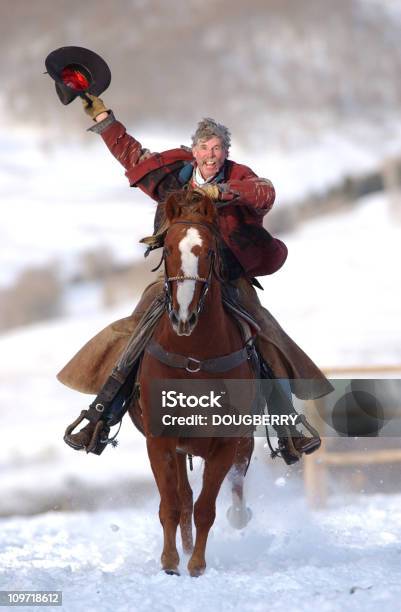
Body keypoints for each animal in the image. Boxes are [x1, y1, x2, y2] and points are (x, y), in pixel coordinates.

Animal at [131, 190, 256, 572]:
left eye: (211, 251)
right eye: (169, 249)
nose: (183, 316)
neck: (193, 358)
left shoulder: (226, 443)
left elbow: (205, 508)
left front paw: (197, 564)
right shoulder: (160, 441)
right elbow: (173, 504)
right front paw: (171, 561)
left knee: (232, 488)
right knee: (182, 497)